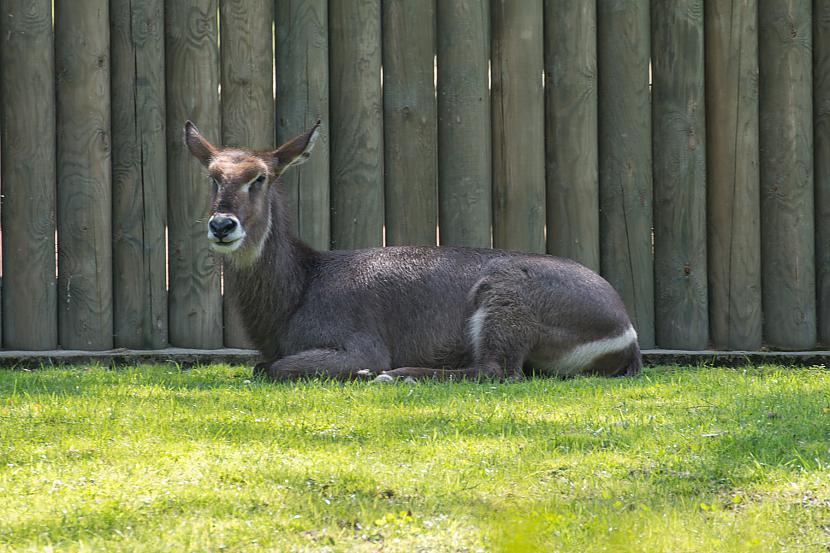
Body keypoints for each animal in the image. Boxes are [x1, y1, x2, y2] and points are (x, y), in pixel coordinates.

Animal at [187, 120, 644, 380]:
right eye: (213, 176)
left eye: (259, 177)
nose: (222, 225)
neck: (303, 283)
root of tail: (626, 327)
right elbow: (261, 364)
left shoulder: (358, 345)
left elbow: (271, 367)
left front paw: (369, 371)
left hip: (503, 297)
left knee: (495, 371)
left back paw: (396, 375)